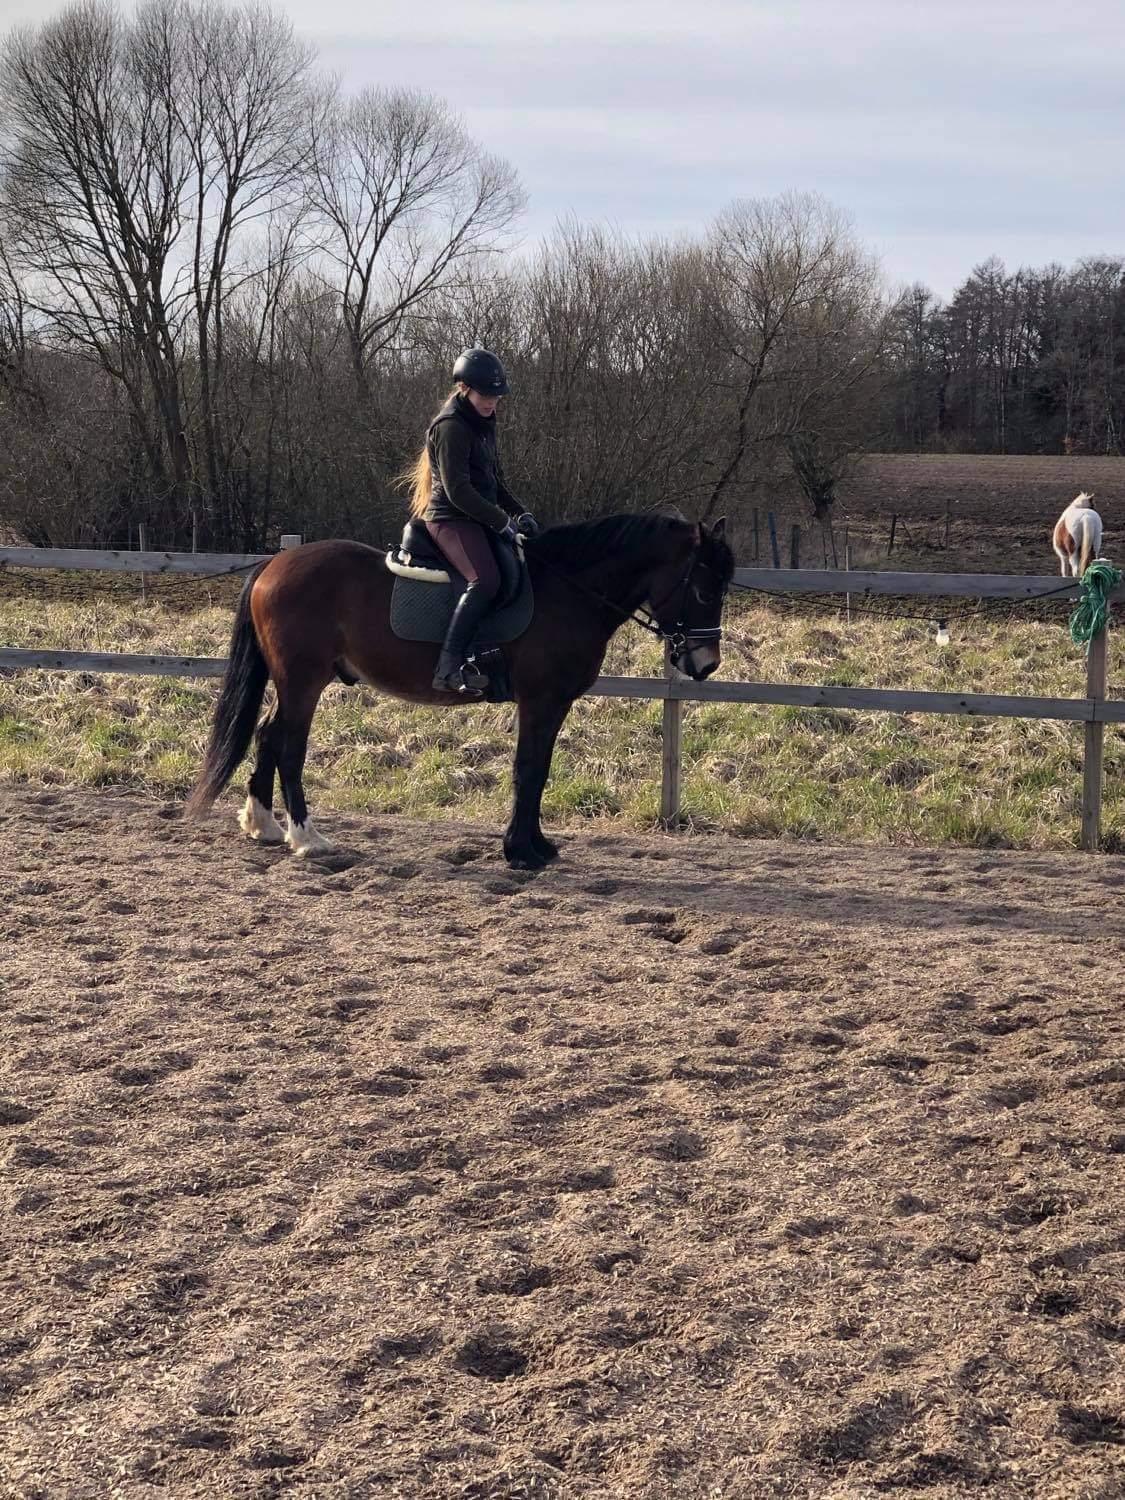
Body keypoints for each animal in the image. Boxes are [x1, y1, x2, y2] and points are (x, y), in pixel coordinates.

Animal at [185, 512, 734, 870]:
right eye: (704, 589)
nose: (704, 665)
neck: (569, 591)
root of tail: (273, 565)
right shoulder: (541, 700)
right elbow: (528, 769)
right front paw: (521, 851)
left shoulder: (553, 704)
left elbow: (538, 771)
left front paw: (536, 845)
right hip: (303, 680)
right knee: (289, 745)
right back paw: (306, 837)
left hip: (292, 681)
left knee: (268, 735)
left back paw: (262, 825)